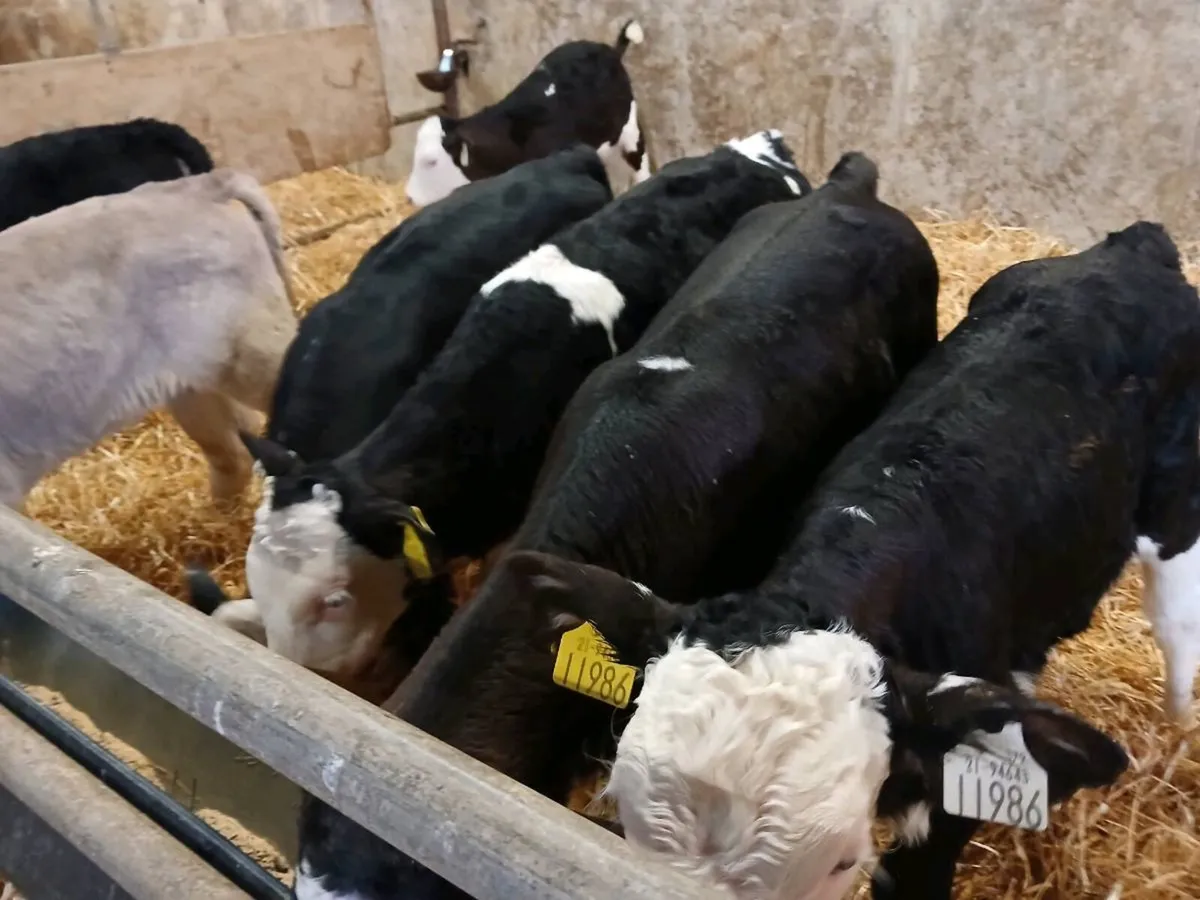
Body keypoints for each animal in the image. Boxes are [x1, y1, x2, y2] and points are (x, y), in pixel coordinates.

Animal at [498, 221, 1200, 899]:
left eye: (841, 861)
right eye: (624, 819)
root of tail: (1133, 246)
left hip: (1176, 518)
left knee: (1176, 629)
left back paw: (1176, 738)